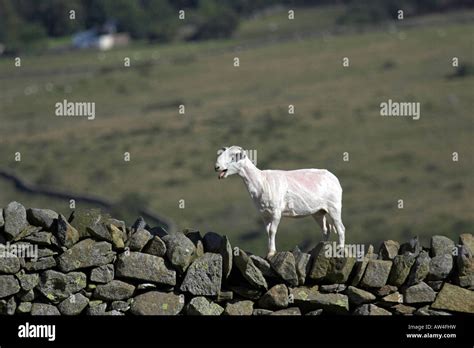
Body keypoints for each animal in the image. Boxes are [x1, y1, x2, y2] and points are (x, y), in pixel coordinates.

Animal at [215, 145, 344, 258]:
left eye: (233, 156)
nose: (217, 167)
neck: (261, 182)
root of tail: (333, 177)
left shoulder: (276, 212)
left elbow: (272, 231)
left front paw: (272, 253)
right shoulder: (264, 214)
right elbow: (267, 232)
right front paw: (269, 251)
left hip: (334, 207)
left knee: (340, 228)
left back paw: (341, 250)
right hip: (318, 212)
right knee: (326, 229)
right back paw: (322, 247)